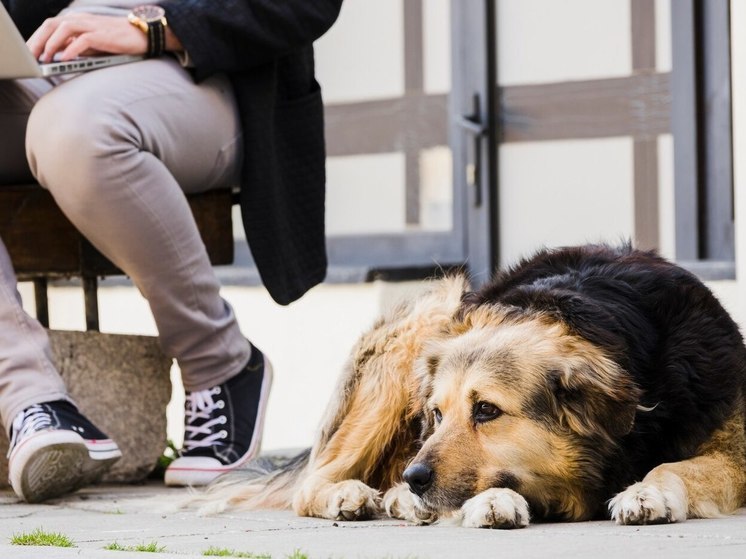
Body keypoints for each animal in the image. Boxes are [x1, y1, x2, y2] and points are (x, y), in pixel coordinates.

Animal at [196, 245, 744, 528]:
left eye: (486, 410)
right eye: (437, 414)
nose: (416, 477)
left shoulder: (731, 448)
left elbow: (674, 466)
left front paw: (646, 492)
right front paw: (491, 502)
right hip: (425, 318)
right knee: (315, 479)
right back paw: (360, 495)